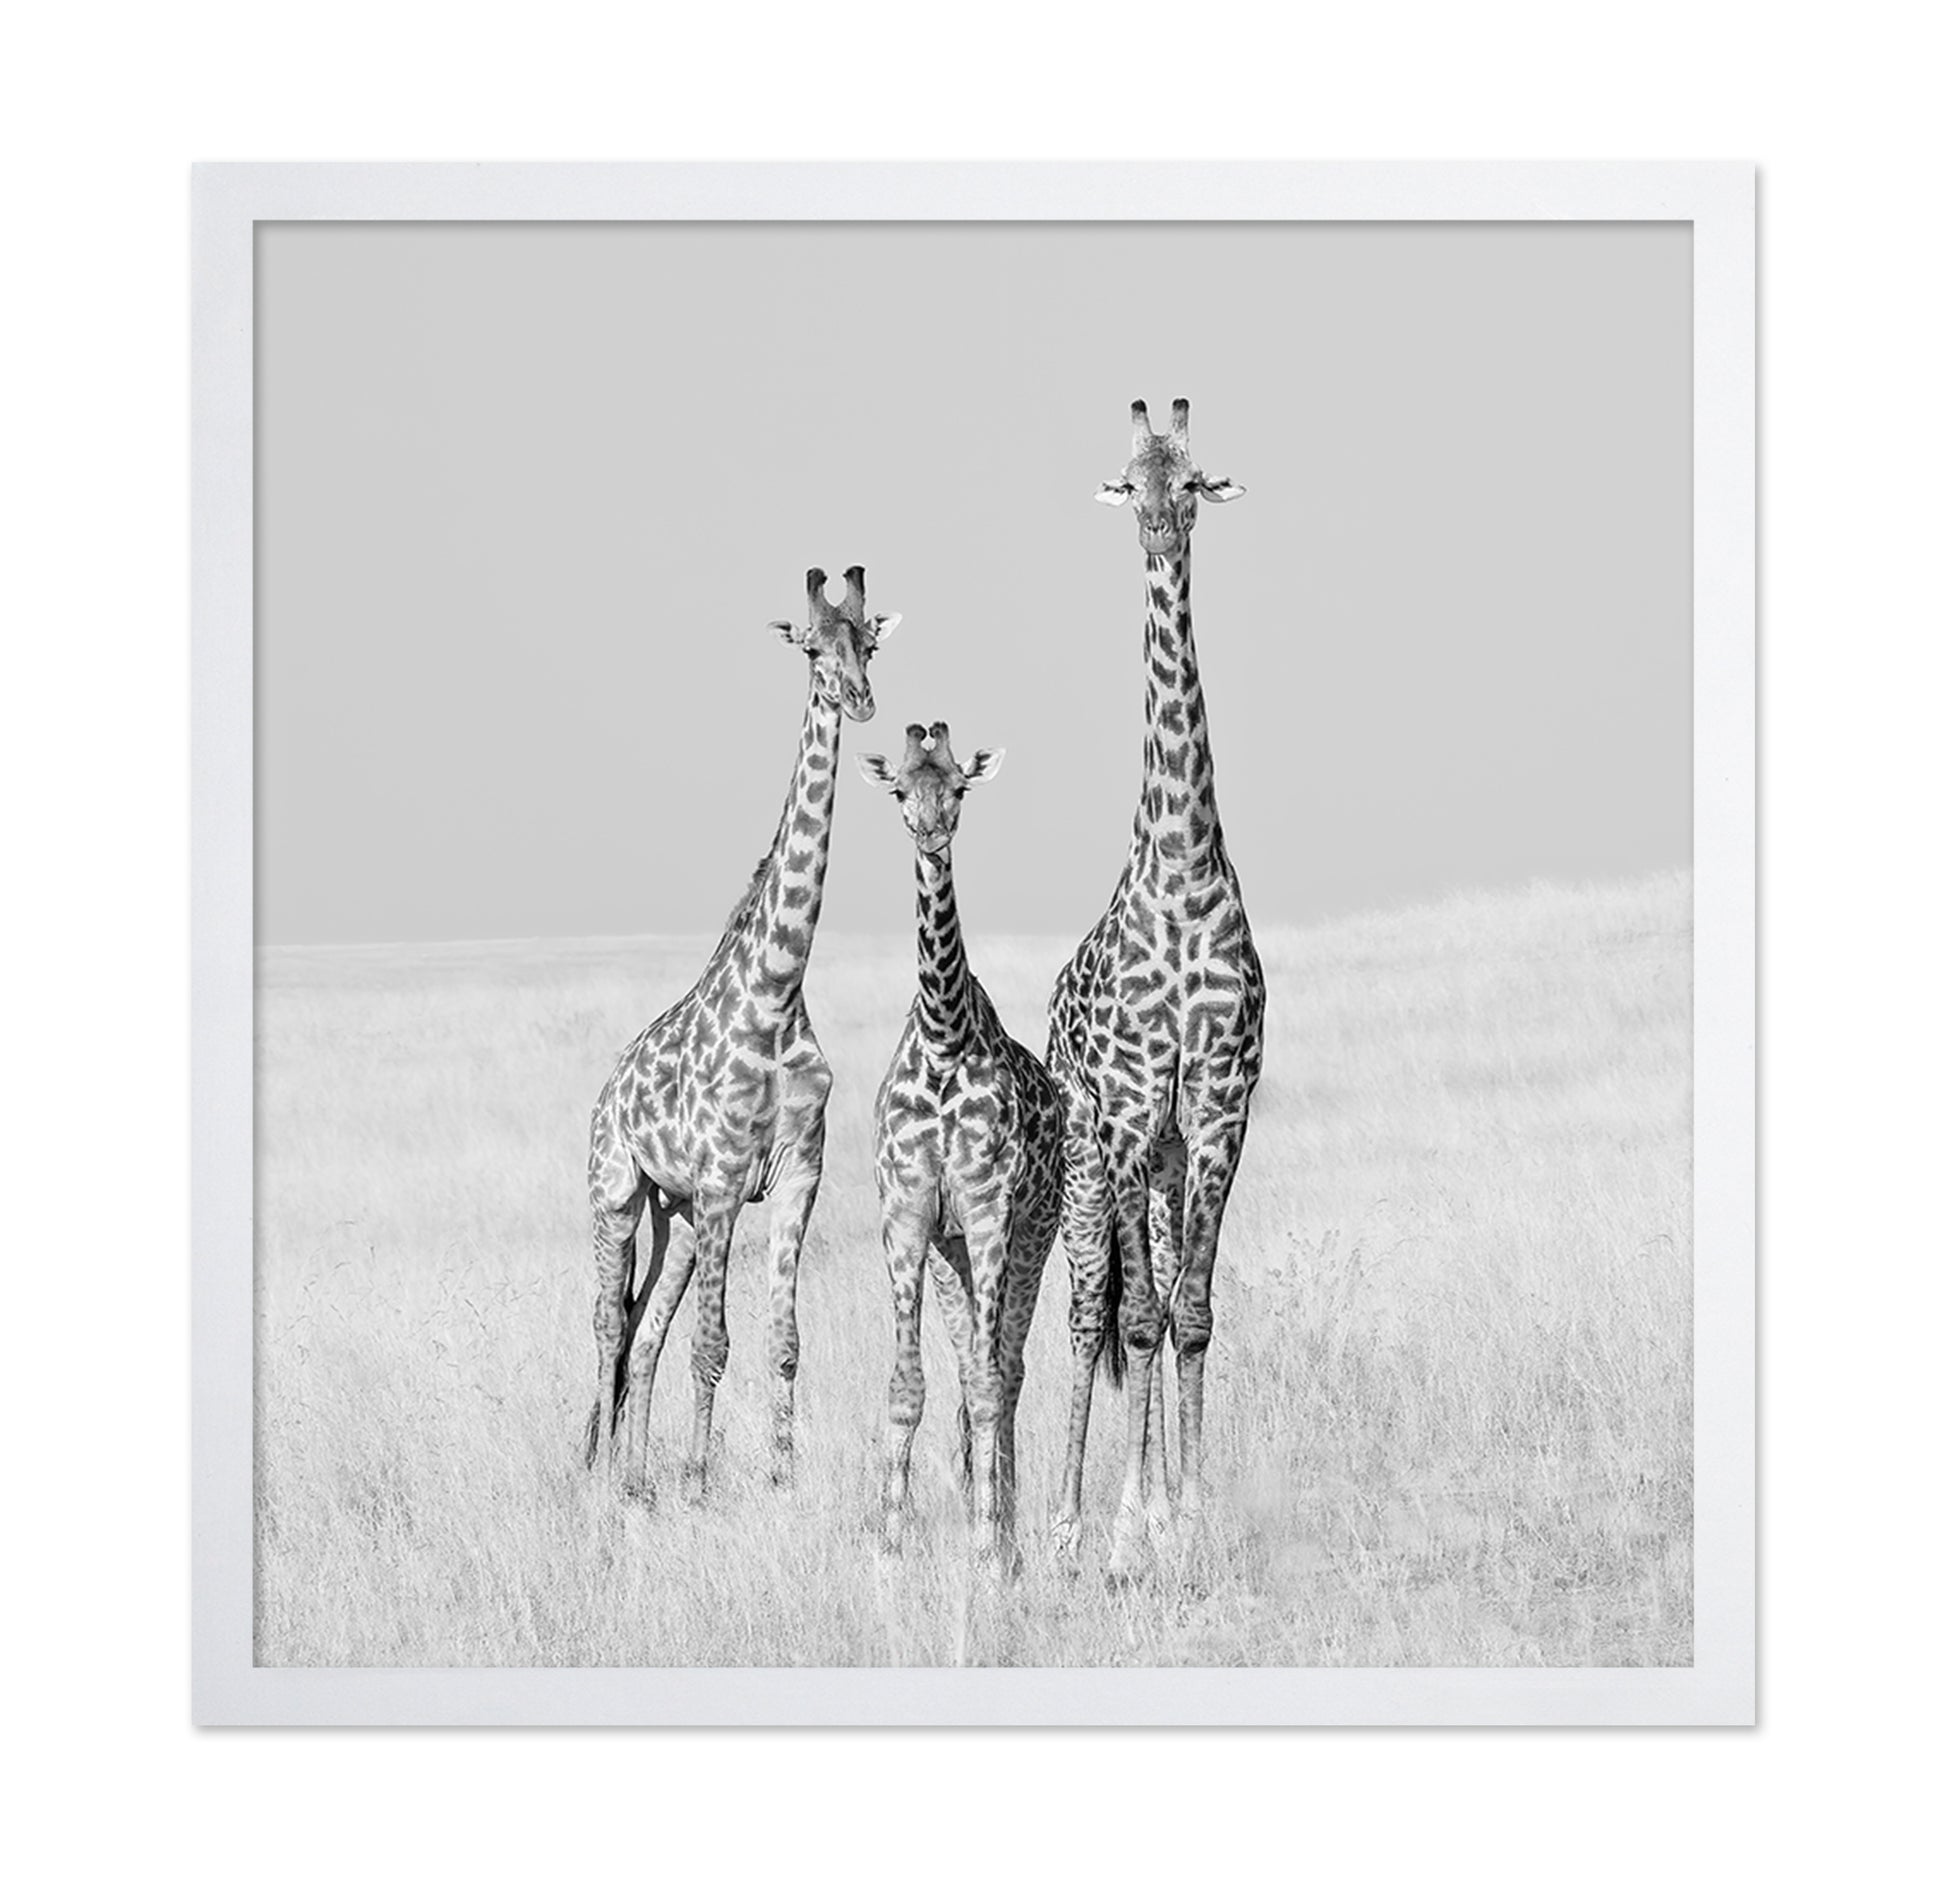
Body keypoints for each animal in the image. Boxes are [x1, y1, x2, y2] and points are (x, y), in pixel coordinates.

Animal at [584, 565, 900, 1504]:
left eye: (870, 641)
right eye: (812, 647)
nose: (860, 698)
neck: (777, 990)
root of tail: (607, 1089)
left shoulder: (796, 1174)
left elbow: (783, 1342)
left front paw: (779, 1477)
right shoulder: (726, 1180)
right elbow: (714, 1342)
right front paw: (698, 1481)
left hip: (679, 1214)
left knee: (644, 1330)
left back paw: (635, 1479)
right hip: (619, 1193)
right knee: (608, 1326)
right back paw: (606, 1476)